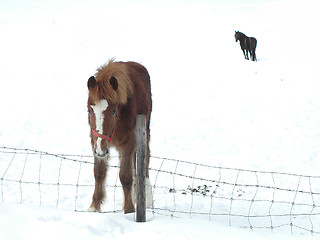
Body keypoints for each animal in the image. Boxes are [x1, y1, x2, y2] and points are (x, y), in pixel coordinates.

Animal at [86, 59, 152, 213]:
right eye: (89, 110)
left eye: (113, 111)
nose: (101, 149)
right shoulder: (96, 143)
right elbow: (99, 173)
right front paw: (94, 207)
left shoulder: (127, 143)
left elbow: (125, 176)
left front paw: (129, 209)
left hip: (144, 131)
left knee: (146, 157)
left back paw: (146, 198)